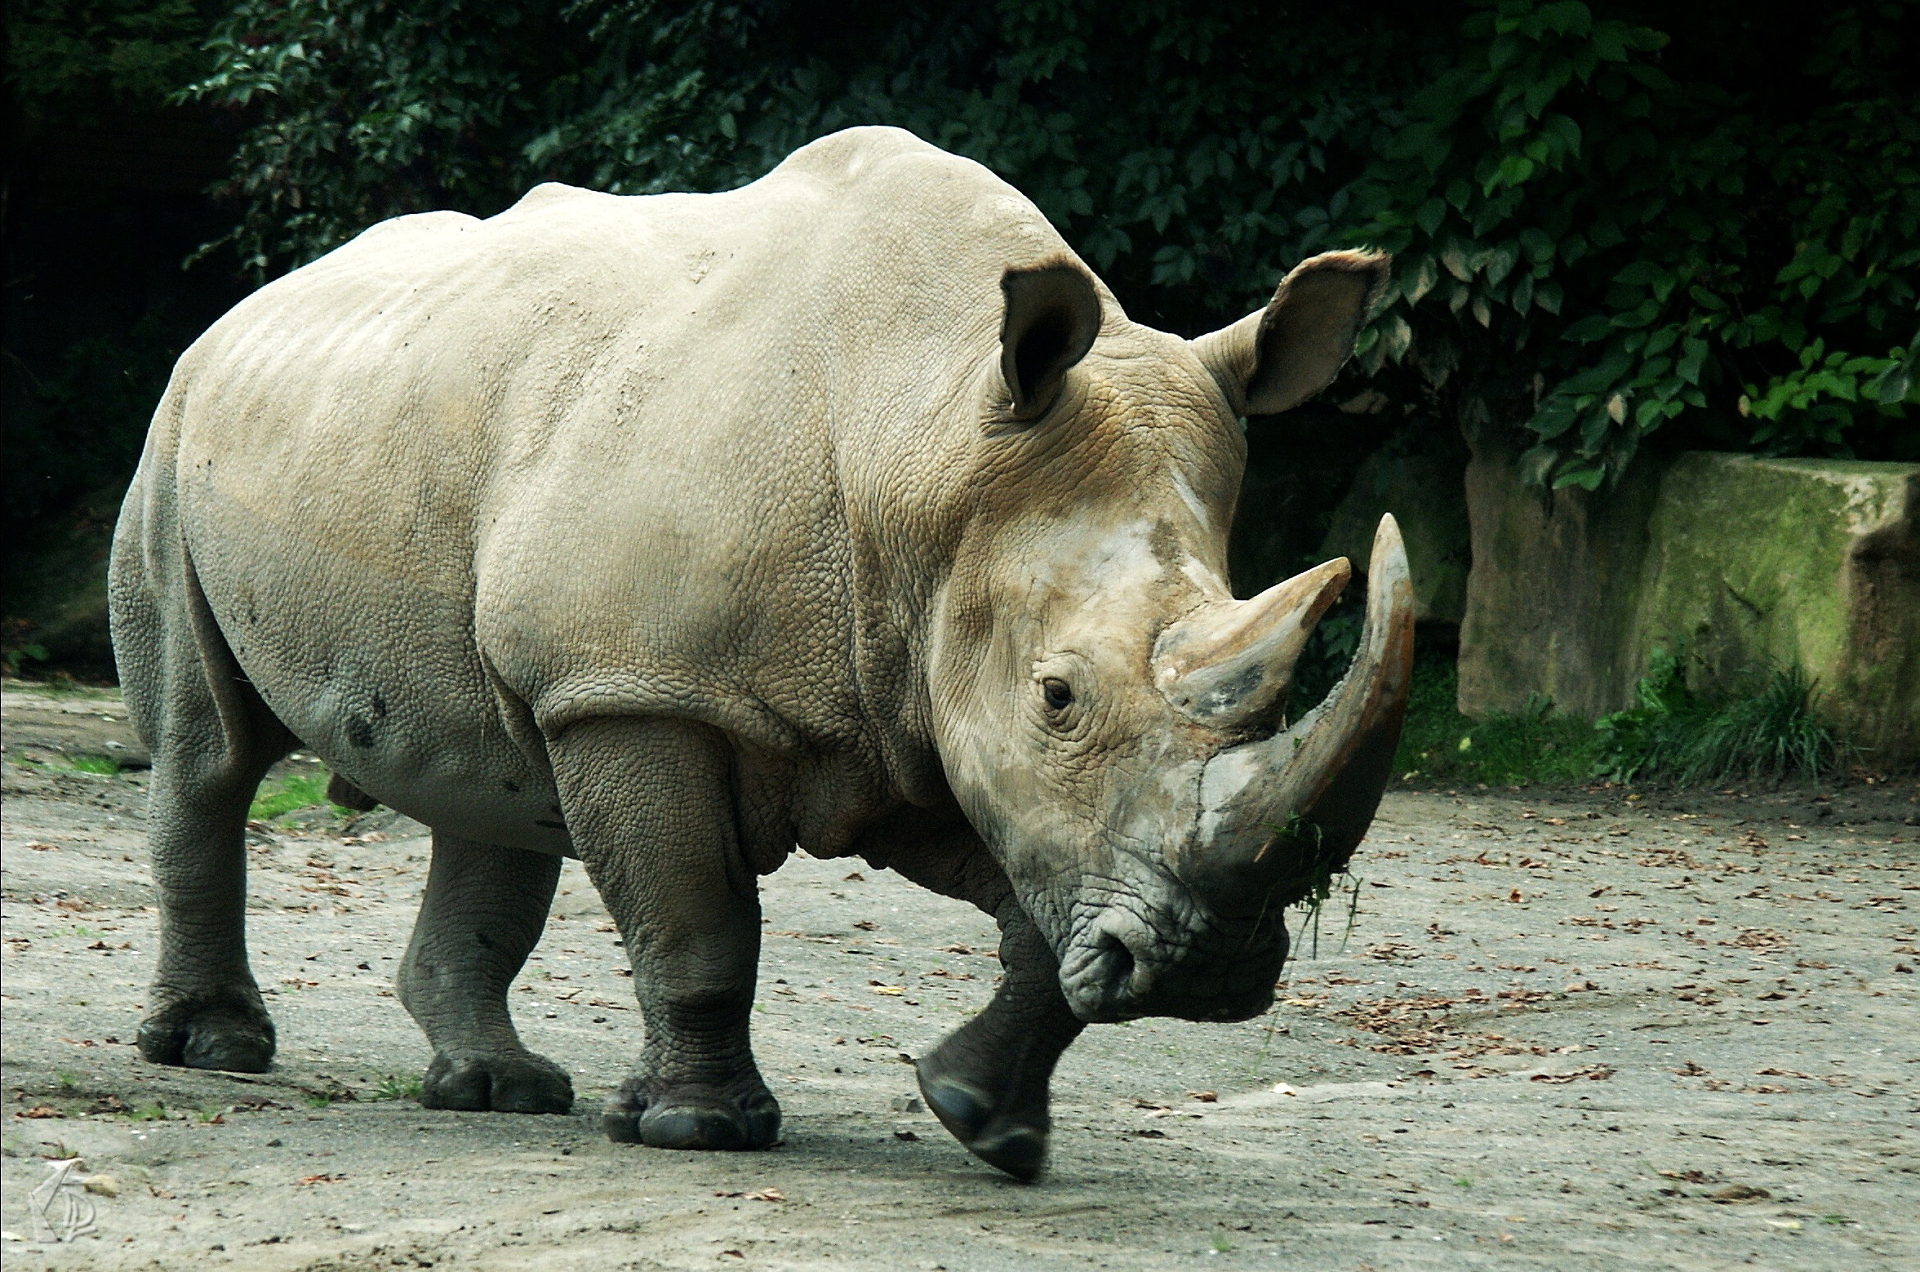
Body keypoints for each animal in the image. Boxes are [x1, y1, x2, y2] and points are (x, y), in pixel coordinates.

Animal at [109, 126, 1412, 1179]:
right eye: (1058, 696)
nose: (1209, 971)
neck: (927, 436)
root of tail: (258, 301)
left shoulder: (916, 715)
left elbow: (1044, 908)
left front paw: (982, 1119)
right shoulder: (639, 689)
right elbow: (697, 917)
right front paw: (700, 1130)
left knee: (487, 780)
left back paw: (499, 1094)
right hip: (174, 435)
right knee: (207, 753)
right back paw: (217, 1050)